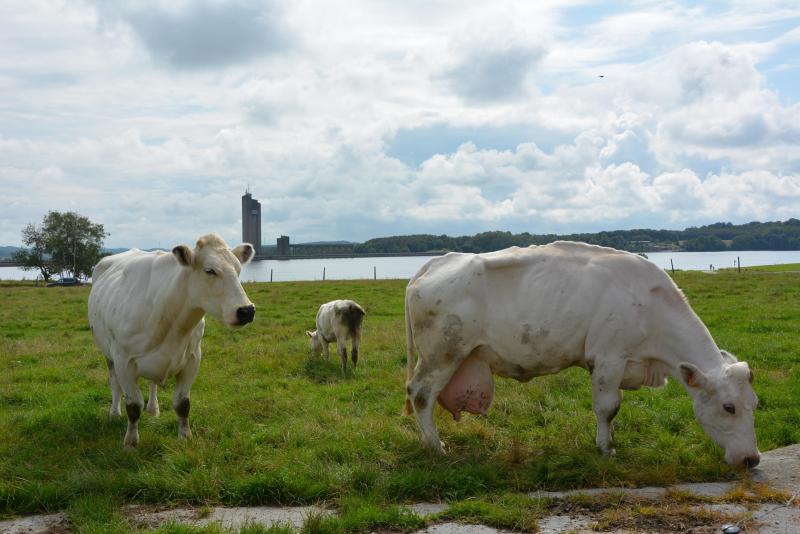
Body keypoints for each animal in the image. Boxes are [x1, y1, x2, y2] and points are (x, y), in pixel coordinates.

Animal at [89, 233, 255, 448]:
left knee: (151, 383)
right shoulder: (123, 360)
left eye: (238, 270)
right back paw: (114, 413)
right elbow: (133, 406)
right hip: (107, 354)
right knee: (114, 383)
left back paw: (153, 409)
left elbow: (182, 403)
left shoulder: (193, 359)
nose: (247, 311)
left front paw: (185, 436)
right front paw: (131, 443)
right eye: (209, 270)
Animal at [406, 243, 764, 468]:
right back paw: (436, 446)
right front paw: (606, 448)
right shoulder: (608, 357)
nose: (752, 459)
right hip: (442, 354)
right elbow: (608, 407)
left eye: (755, 404)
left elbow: (614, 408)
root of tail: (434, 263)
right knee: (420, 394)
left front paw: (610, 440)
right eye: (728, 407)